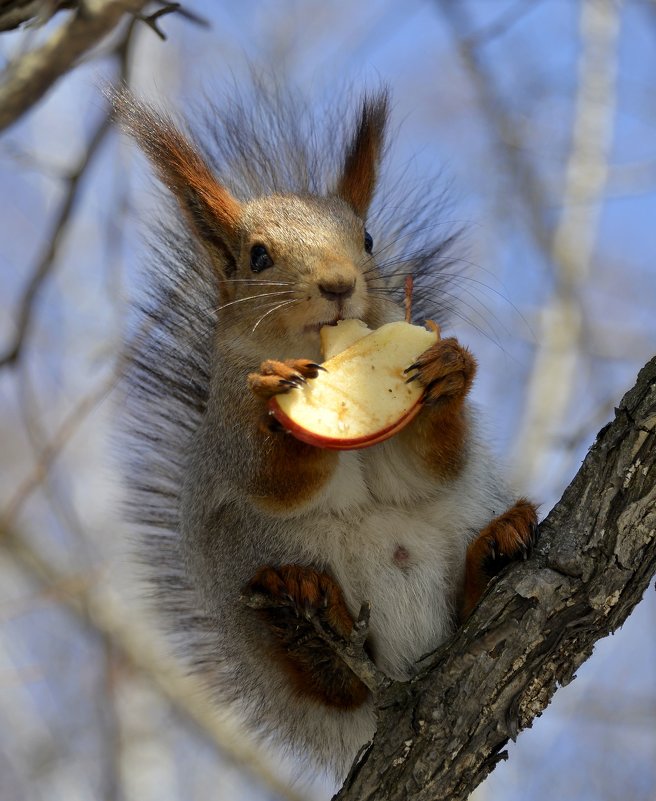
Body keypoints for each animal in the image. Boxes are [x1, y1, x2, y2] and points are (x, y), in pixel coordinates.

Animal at [116, 84, 540, 780]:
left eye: (367, 238)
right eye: (258, 256)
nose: (340, 284)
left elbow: (430, 464)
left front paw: (451, 371)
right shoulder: (227, 426)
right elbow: (271, 478)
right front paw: (278, 393)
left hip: (460, 519)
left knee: (460, 614)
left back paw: (493, 552)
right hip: (245, 564)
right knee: (333, 685)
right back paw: (304, 626)